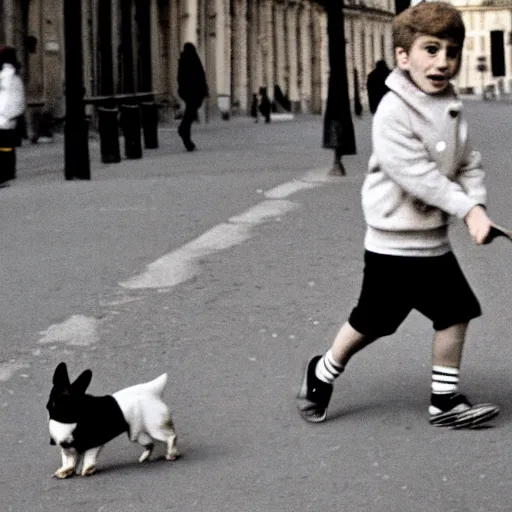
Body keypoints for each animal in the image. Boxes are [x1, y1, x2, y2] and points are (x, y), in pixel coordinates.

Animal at [47, 362, 180, 478]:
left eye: (67, 402)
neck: (67, 420)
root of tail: (153, 391)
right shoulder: (69, 450)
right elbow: (69, 462)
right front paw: (65, 472)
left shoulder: (93, 444)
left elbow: (89, 459)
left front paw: (87, 470)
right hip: (136, 433)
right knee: (150, 444)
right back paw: (145, 457)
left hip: (155, 427)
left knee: (171, 437)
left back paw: (171, 454)